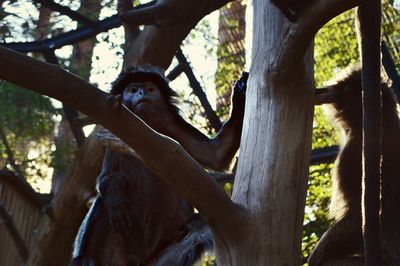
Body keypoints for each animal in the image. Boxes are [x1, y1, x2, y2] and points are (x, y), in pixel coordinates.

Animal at [71, 65, 247, 264]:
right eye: (133, 90)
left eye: (150, 89)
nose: (141, 93)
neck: (145, 127)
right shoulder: (113, 129)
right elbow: (106, 178)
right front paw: (115, 195)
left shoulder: (172, 125)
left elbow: (216, 153)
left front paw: (241, 92)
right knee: (104, 202)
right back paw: (87, 259)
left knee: (198, 229)